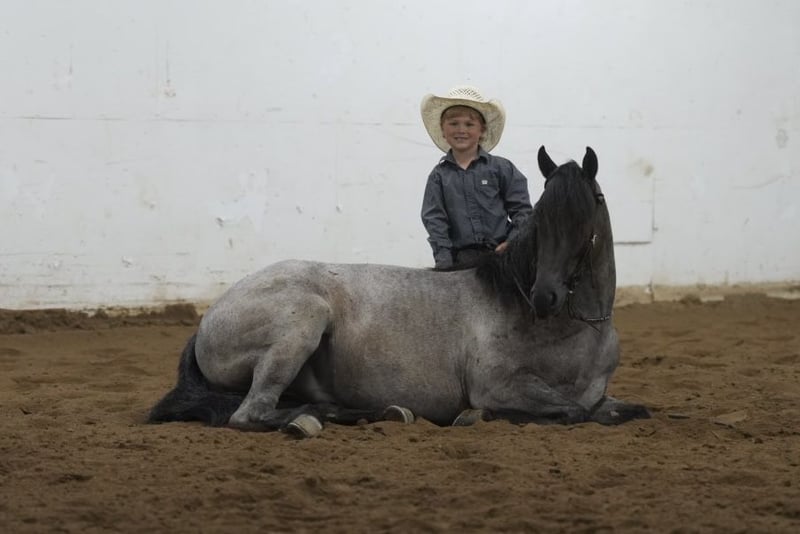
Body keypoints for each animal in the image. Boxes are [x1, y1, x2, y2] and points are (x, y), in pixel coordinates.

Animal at [148, 146, 650, 436]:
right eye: (543, 217)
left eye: (586, 216)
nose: (544, 295)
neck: (569, 331)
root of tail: (210, 317)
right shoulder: (498, 386)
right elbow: (570, 412)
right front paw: (473, 417)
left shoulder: (599, 395)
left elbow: (625, 411)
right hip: (303, 322)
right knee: (249, 414)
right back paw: (317, 420)